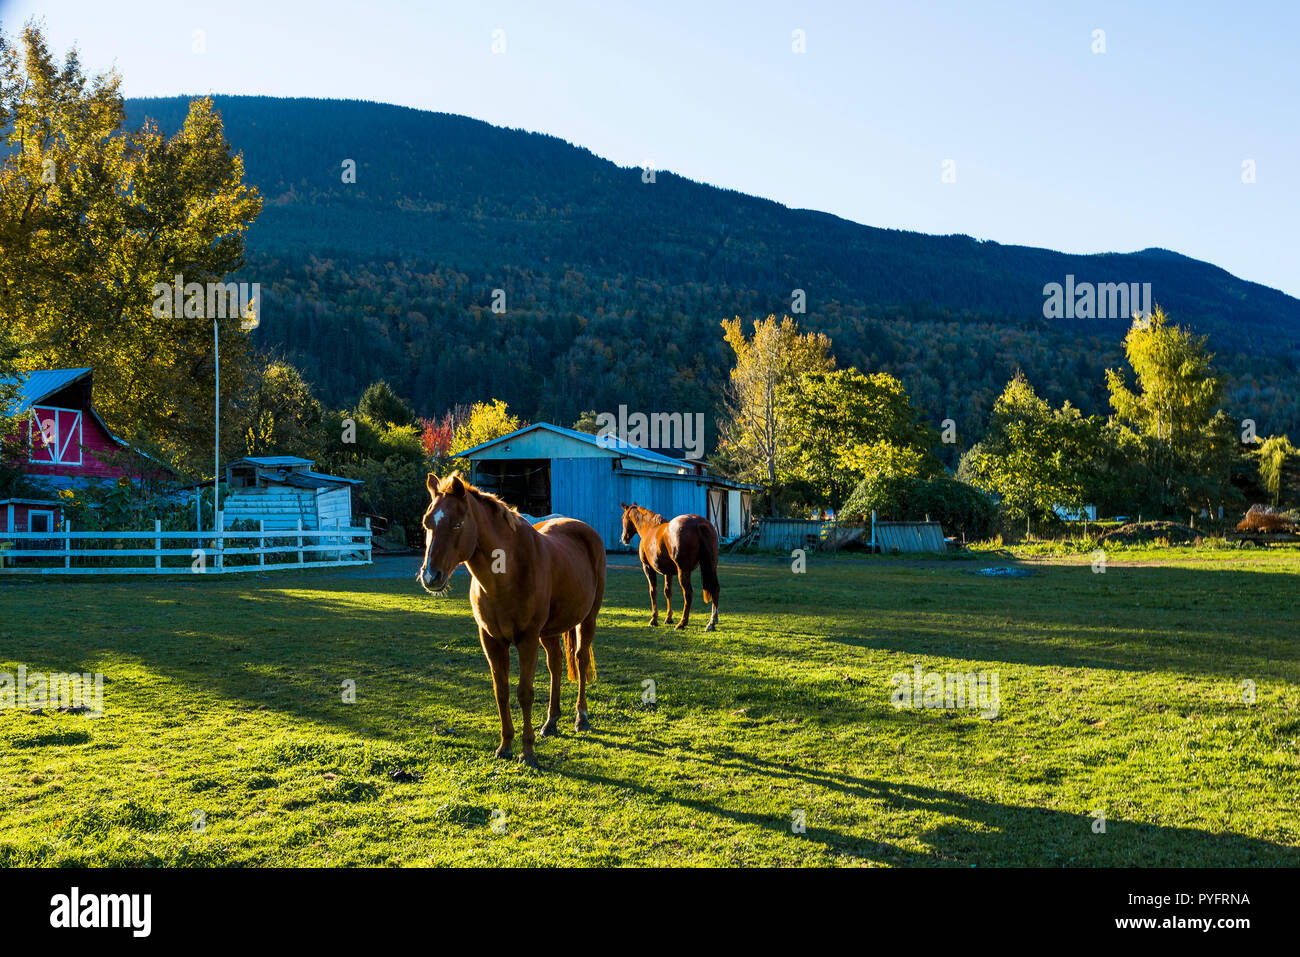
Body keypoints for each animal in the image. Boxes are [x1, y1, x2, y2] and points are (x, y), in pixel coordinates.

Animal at [419, 472, 605, 768]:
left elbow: (524, 693)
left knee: (580, 659)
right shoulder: (492, 641)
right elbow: (502, 690)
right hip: (549, 632)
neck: (506, 575)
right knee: (556, 665)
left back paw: (581, 717)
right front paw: (505, 745)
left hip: (587, 619)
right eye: (427, 523)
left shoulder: (527, 639)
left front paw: (527, 752)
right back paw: (551, 722)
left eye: (458, 524)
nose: (430, 576)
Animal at [619, 503, 720, 631]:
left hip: (683, 571)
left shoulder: (648, 568)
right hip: (712, 567)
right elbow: (667, 592)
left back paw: (682, 623)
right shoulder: (669, 572)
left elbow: (653, 591)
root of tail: (698, 523)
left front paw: (654, 619)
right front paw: (668, 618)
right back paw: (711, 622)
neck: (650, 528)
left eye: (623, 517)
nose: (624, 538)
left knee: (688, 593)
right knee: (715, 588)